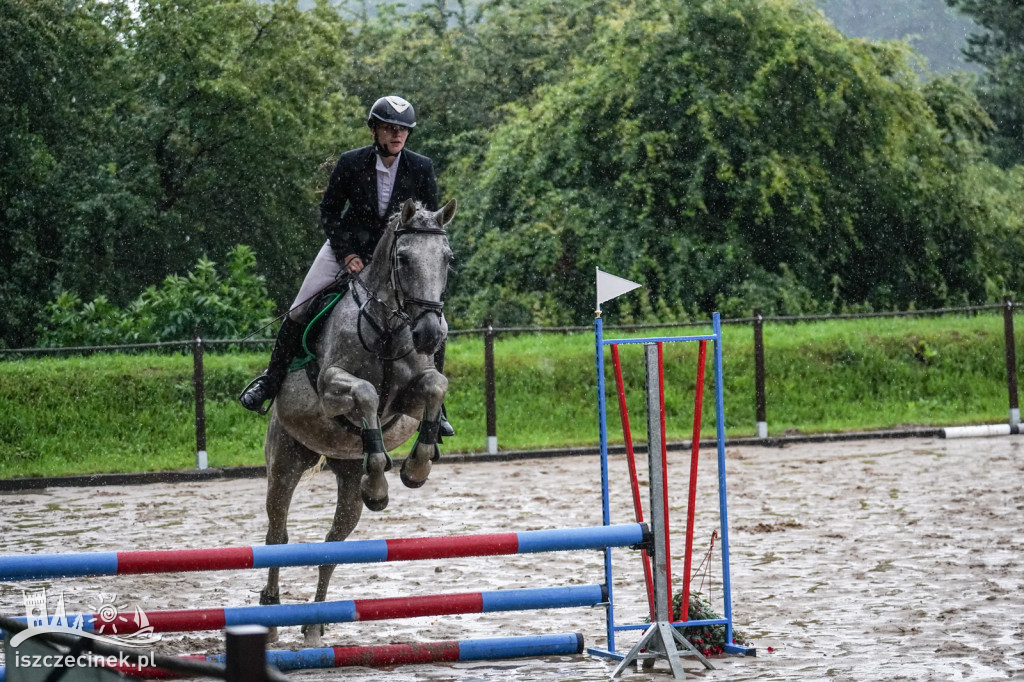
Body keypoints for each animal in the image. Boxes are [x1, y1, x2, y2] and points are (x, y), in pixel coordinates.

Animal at [260, 195, 456, 643]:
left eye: (447, 258)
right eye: (403, 258)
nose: (430, 334)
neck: (388, 327)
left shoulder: (407, 400)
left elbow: (436, 385)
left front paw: (415, 468)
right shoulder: (332, 387)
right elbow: (365, 393)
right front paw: (384, 474)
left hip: (347, 481)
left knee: (332, 545)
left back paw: (314, 625)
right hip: (284, 461)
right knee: (276, 536)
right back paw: (272, 617)